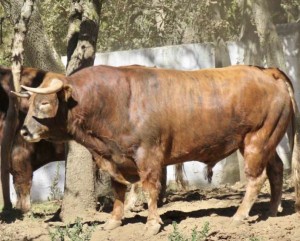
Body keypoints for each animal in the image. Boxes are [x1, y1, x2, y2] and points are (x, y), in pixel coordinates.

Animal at [16, 65, 300, 234]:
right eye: (28, 104)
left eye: (44, 103)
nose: (24, 131)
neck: (114, 101)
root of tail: (266, 71)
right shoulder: (114, 159)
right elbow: (118, 190)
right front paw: (113, 221)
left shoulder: (149, 156)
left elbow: (150, 188)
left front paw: (152, 224)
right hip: (267, 141)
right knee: (276, 169)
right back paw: (272, 211)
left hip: (256, 141)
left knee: (256, 178)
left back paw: (240, 216)